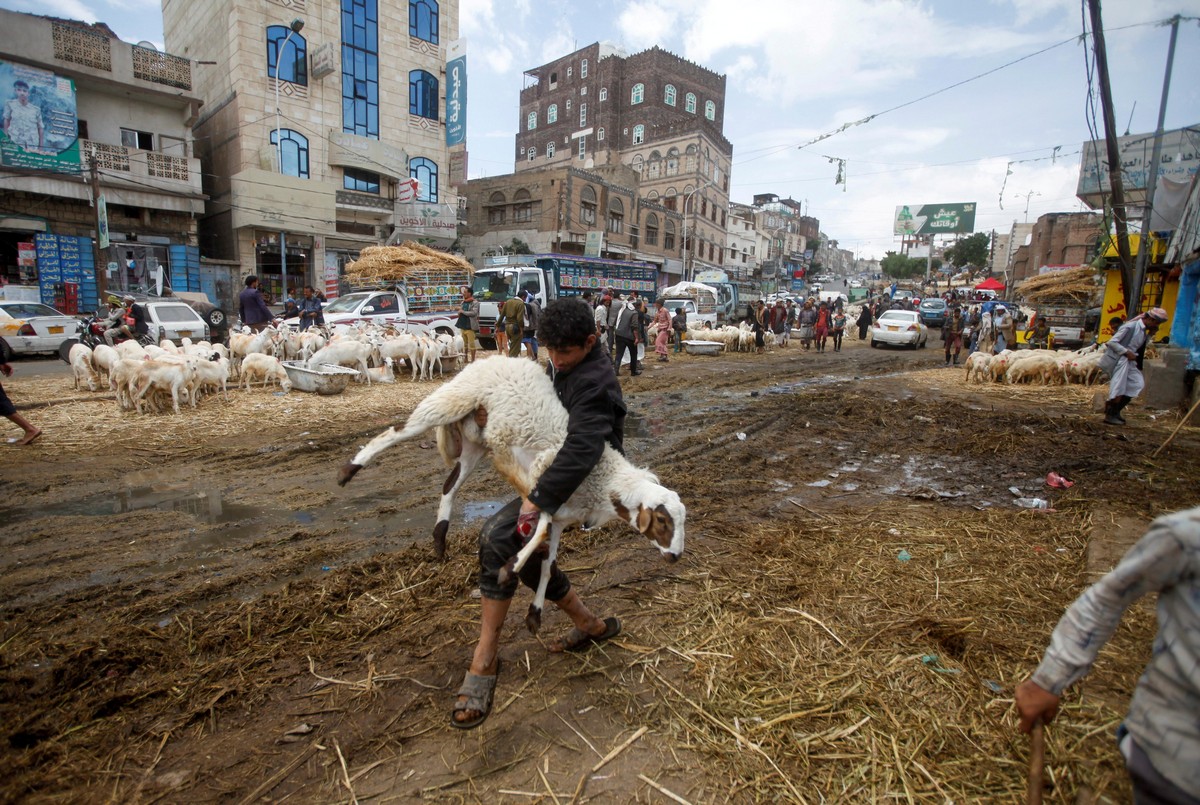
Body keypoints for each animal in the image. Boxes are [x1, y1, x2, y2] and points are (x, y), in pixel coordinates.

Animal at [338, 359, 686, 638]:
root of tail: (499, 357)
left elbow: (548, 564)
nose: (675, 557)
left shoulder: (560, 516)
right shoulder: (543, 480)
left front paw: (535, 613)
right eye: (662, 519)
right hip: (455, 398)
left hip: (478, 440)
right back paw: (348, 471)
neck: (601, 481)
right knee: (398, 430)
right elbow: (539, 532)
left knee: (450, 484)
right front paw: (510, 569)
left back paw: (439, 537)